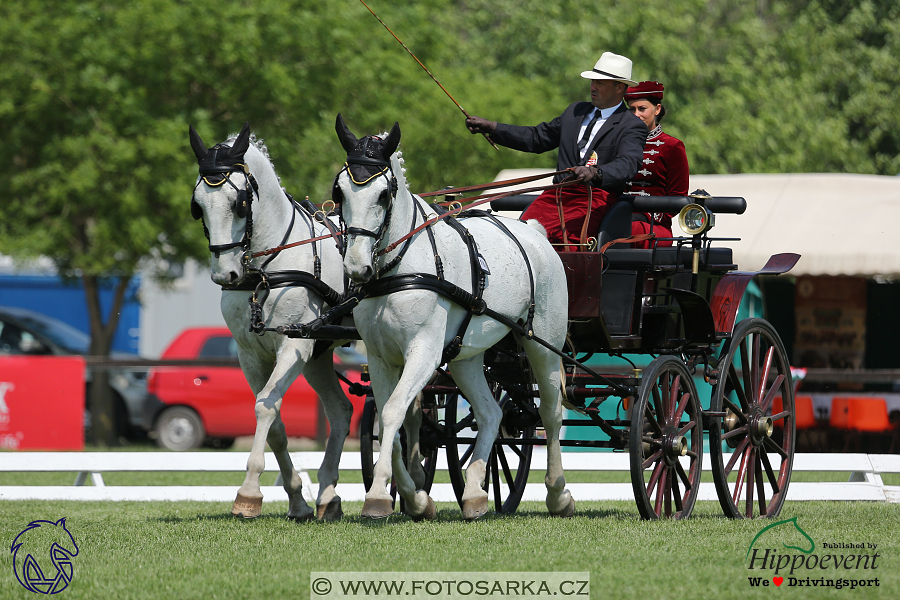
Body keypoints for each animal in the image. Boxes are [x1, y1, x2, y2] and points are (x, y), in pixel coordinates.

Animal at [188, 122, 354, 520]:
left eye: (240, 203)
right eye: (198, 206)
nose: (225, 274)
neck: (267, 270)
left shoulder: (293, 346)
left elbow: (265, 405)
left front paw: (248, 492)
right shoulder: (251, 354)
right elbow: (276, 422)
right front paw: (296, 499)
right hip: (319, 355)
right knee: (341, 411)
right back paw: (328, 495)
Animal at [334, 113, 572, 520]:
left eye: (382, 194)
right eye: (339, 192)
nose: (356, 267)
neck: (398, 270)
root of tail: (537, 233)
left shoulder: (423, 354)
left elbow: (394, 411)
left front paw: (379, 496)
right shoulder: (380, 358)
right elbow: (394, 419)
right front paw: (415, 499)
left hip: (543, 344)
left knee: (550, 413)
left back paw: (558, 494)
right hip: (467, 357)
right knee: (490, 414)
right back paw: (475, 494)